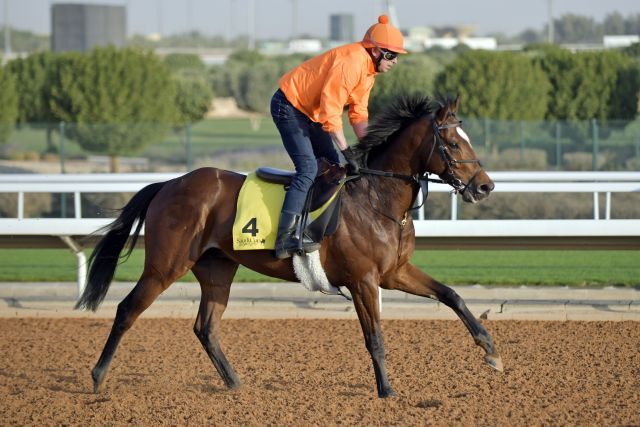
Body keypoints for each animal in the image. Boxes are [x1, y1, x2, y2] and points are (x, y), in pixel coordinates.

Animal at [77, 93, 502, 398]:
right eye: (452, 142)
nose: (485, 186)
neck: (377, 198)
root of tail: (168, 184)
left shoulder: (394, 272)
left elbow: (450, 295)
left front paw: (491, 351)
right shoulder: (364, 279)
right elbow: (375, 337)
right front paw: (386, 390)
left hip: (217, 268)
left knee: (205, 327)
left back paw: (235, 383)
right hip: (166, 265)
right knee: (127, 310)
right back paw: (97, 376)